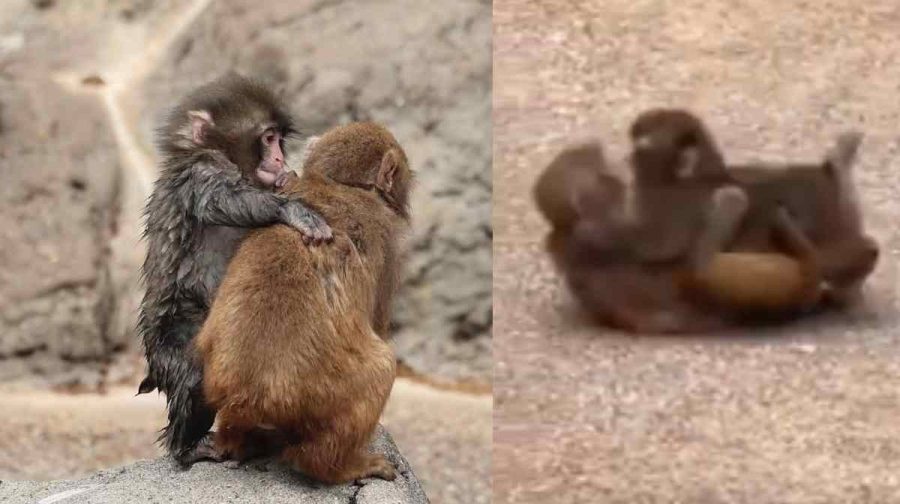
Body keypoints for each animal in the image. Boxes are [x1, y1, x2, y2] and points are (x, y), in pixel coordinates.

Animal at [136, 73, 333, 465]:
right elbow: (224, 198)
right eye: (268, 138)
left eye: (279, 139)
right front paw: (291, 209)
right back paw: (187, 446)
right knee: (195, 372)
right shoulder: (201, 171)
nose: (279, 156)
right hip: (173, 333)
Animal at [192, 122, 412, 483]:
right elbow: (378, 322)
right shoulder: (389, 241)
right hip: (325, 394)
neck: (336, 183)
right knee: (381, 367)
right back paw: (339, 466)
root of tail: (250, 395)